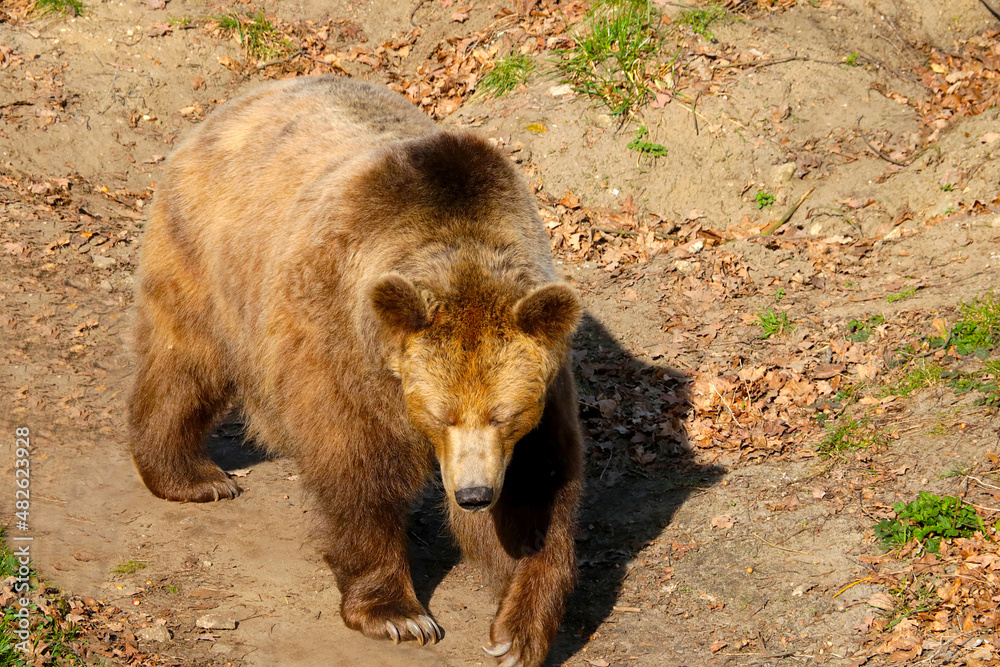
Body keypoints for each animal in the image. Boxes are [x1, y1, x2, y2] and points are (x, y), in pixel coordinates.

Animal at [133, 75, 584, 664]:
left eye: (505, 414)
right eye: (440, 415)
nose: (473, 494)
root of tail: (242, 99)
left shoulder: (539, 398)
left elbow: (539, 492)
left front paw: (518, 630)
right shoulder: (343, 339)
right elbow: (357, 463)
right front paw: (398, 614)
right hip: (211, 254)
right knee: (185, 360)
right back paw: (193, 477)